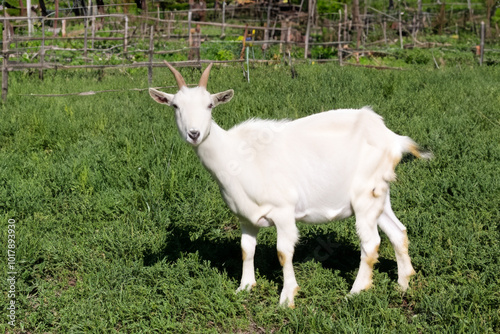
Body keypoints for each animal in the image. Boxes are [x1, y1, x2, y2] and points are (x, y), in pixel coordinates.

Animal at [149, 62, 430, 308]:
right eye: (175, 106)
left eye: (210, 105)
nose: (194, 134)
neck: (235, 156)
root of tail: (392, 138)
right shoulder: (245, 216)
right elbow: (246, 250)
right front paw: (245, 287)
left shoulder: (283, 211)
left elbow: (283, 252)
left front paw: (287, 298)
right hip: (380, 193)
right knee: (398, 232)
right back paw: (403, 284)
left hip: (364, 196)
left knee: (370, 243)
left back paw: (356, 291)